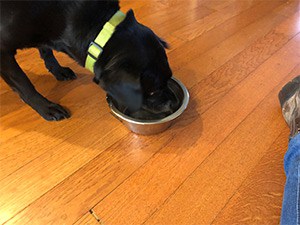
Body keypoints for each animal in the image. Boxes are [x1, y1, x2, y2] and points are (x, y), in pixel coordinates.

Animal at [0, 0, 172, 120]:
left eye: (169, 78)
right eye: (152, 91)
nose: (171, 104)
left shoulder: (44, 34)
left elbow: (46, 50)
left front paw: (57, 70)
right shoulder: (3, 52)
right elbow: (24, 84)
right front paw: (45, 107)